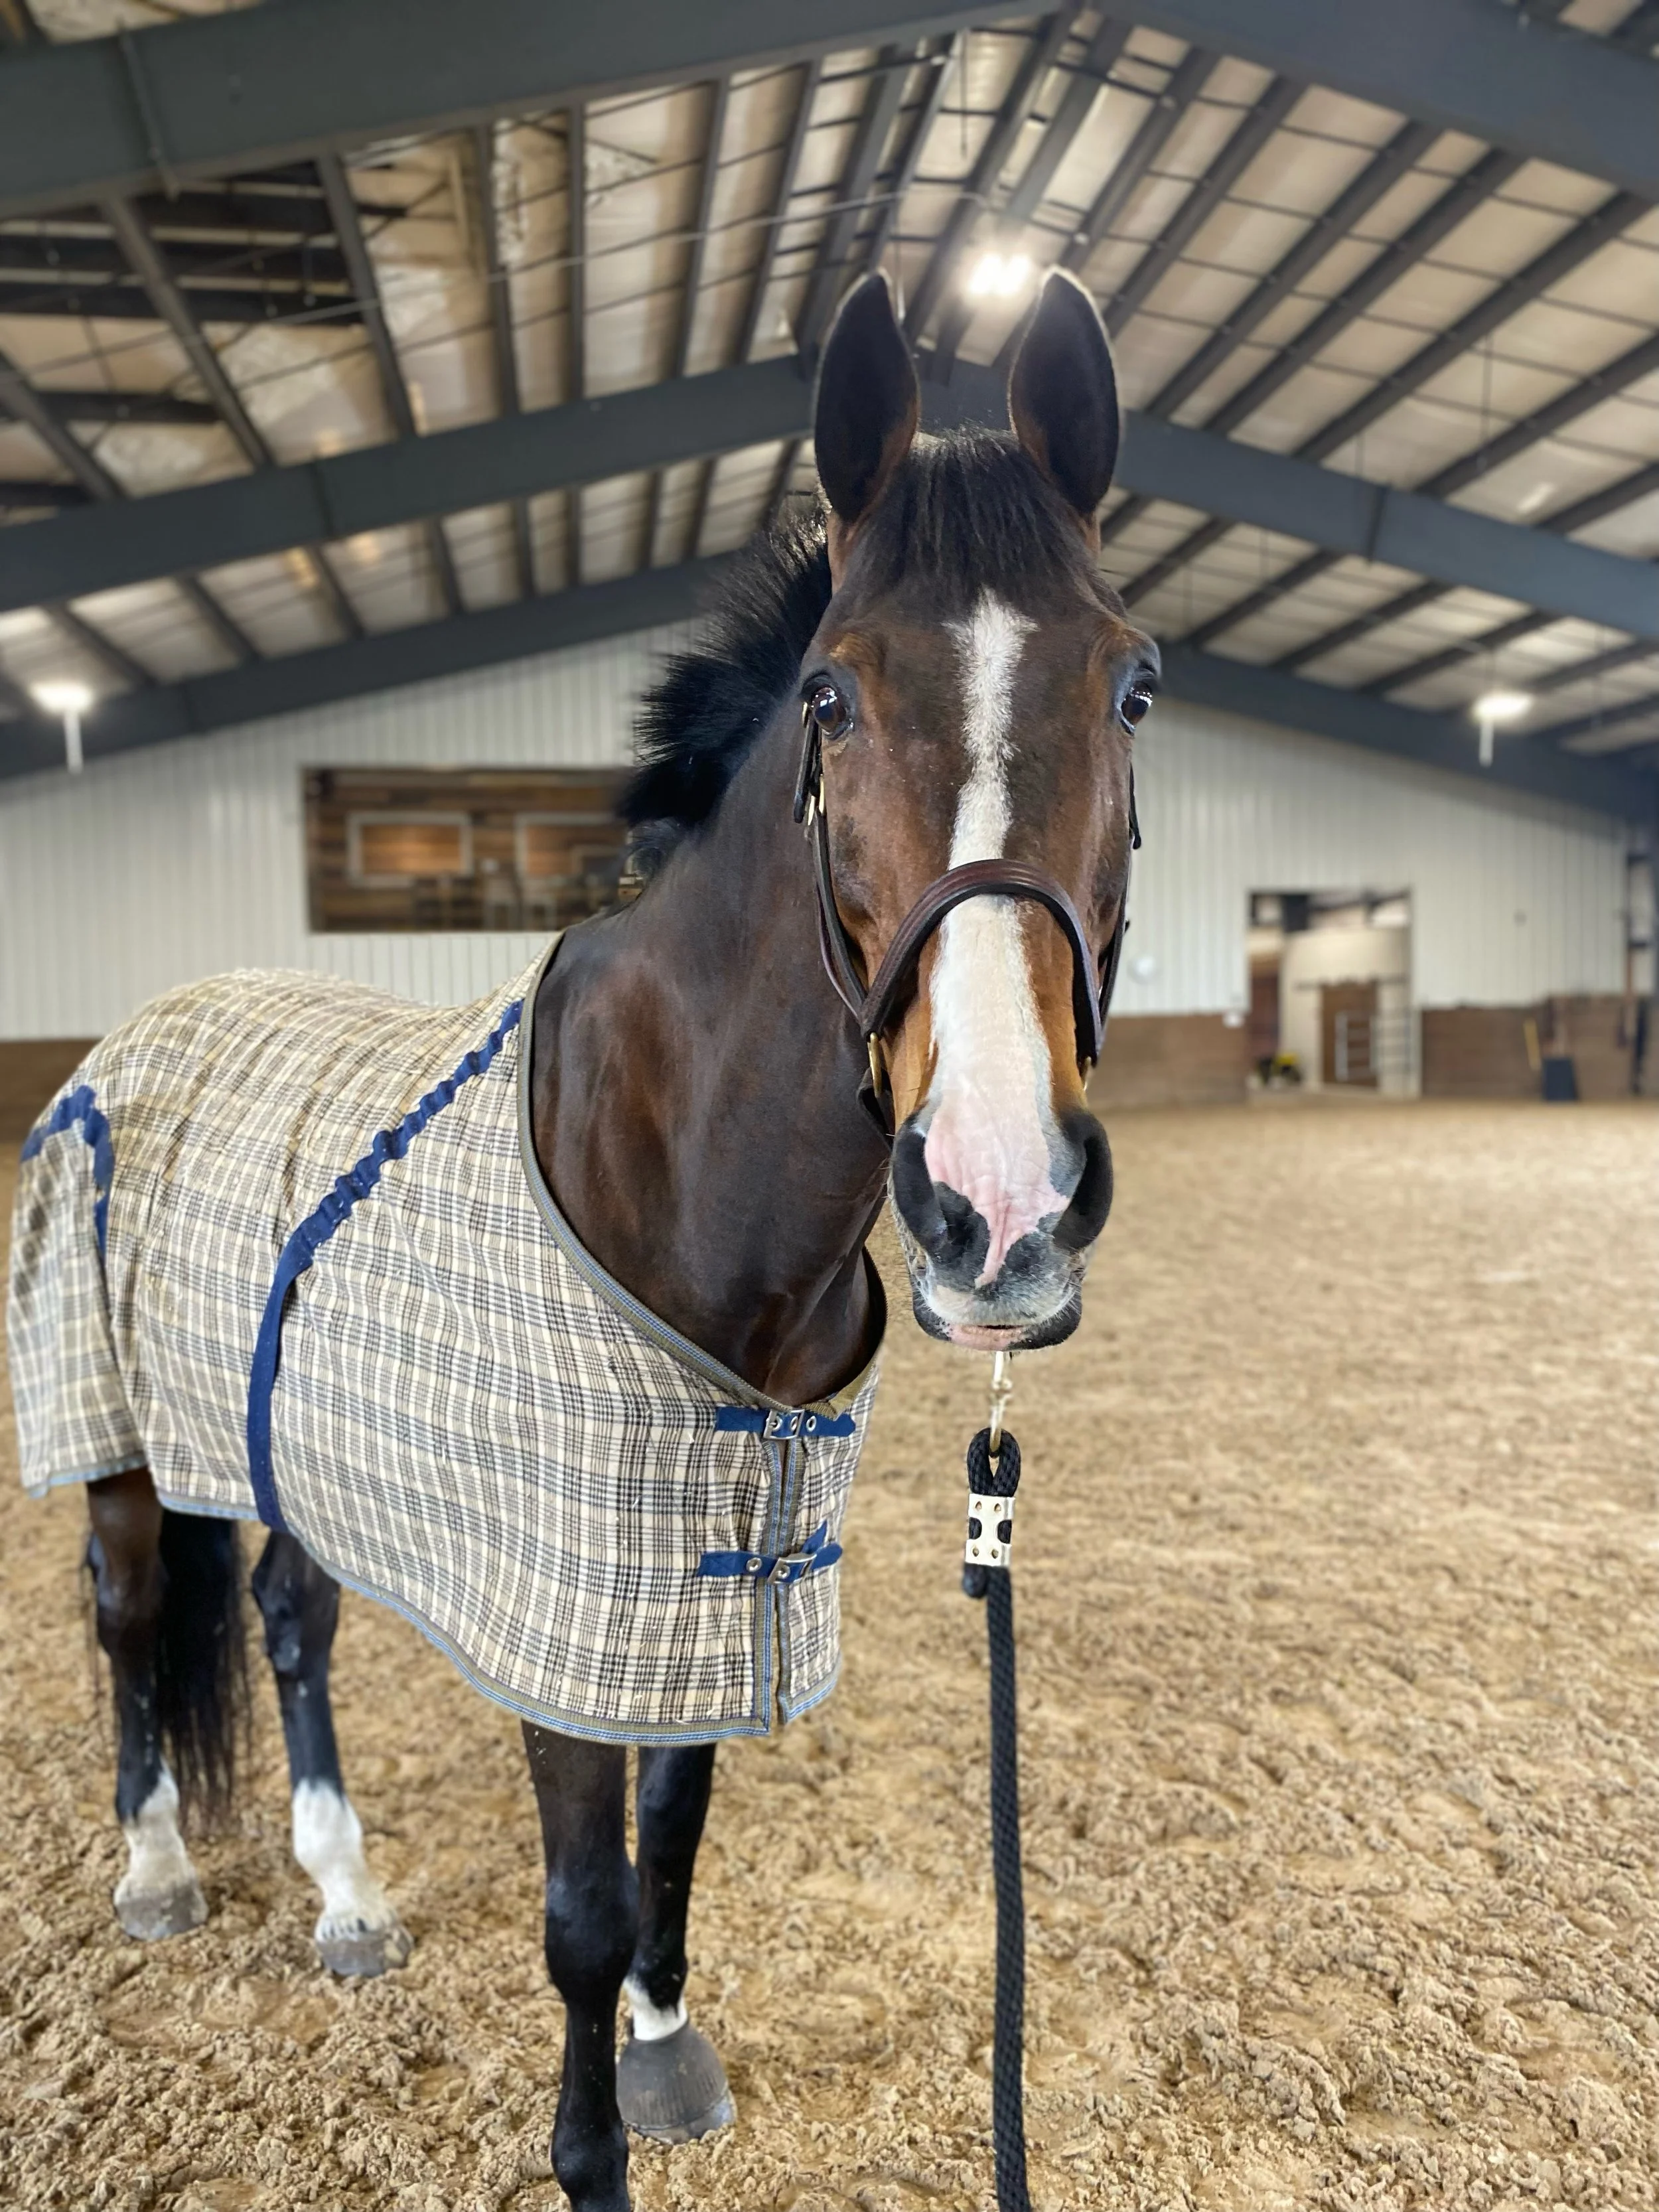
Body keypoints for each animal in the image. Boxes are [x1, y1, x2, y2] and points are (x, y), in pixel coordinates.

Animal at [8, 269, 1158, 2212]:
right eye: (834, 695)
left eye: (1133, 682)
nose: (996, 1196)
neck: (682, 1176)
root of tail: (142, 1024)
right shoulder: (562, 1606)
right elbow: (582, 1899)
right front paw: (590, 2143)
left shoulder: (696, 1575)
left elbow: (677, 1826)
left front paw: (665, 2042)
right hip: (114, 1437)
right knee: (130, 1610)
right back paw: (158, 1869)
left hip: (293, 1432)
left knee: (289, 1623)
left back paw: (344, 1893)